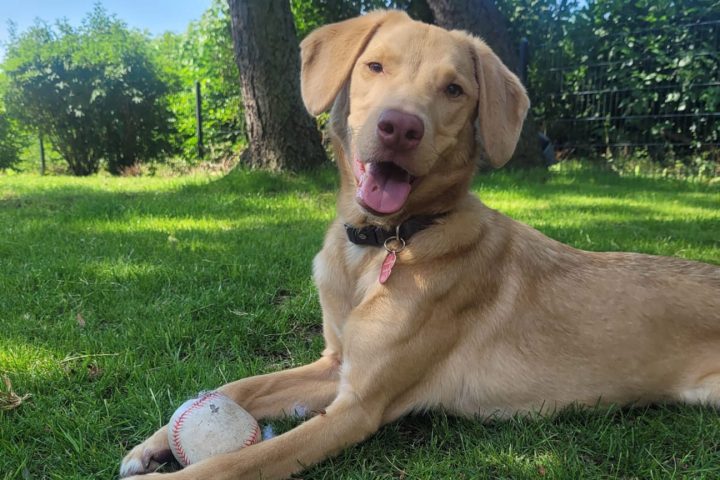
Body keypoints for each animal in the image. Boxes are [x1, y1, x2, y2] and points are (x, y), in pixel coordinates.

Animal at [120, 10, 720, 480]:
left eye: (454, 90)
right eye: (374, 66)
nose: (400, 127)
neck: (382, 245)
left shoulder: (358, 406)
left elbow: (233, 463)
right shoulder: (335, 364)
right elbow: (238, 386)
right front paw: (154, 444)